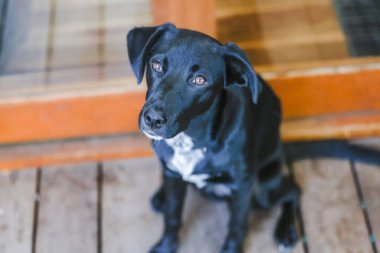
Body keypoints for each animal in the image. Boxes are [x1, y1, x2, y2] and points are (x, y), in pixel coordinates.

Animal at [127, 22, 300, 252]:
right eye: (156, 65)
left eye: (200, 80)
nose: (153, 119)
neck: (191, 142)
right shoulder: (174, 176)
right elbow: (172, 216)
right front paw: (166, 246)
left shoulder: (243, 187)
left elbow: (237, 227)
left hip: (263, 190)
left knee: (294, 191)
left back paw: (286, 231)